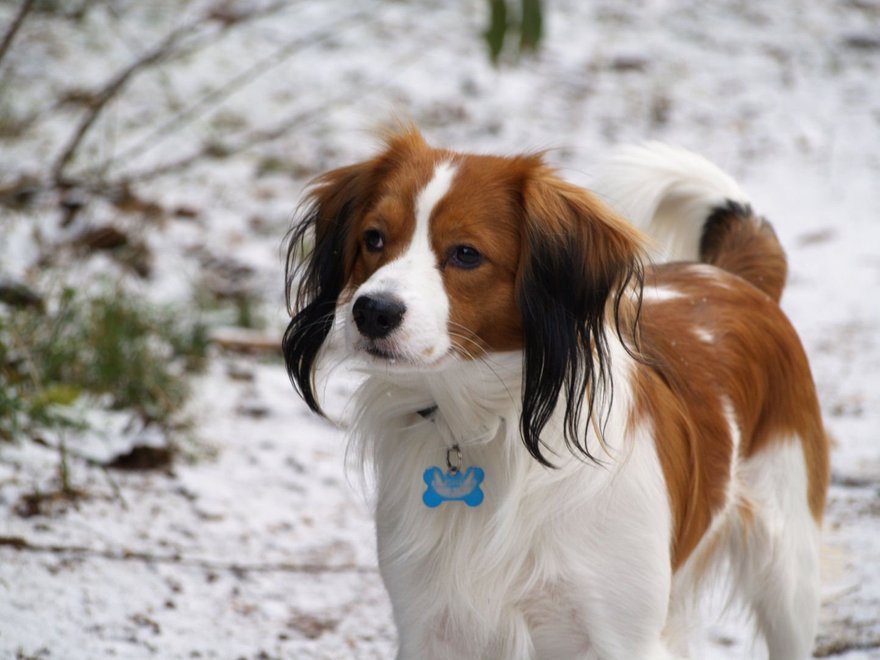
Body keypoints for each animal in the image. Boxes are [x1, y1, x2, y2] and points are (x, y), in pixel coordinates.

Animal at [284, 130, 832, 660]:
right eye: (373, 238)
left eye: (466, 253)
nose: (372, 311)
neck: (490, 423)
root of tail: (733, 280)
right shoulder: (430, 625)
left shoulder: (621, 635)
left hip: (789, 575)